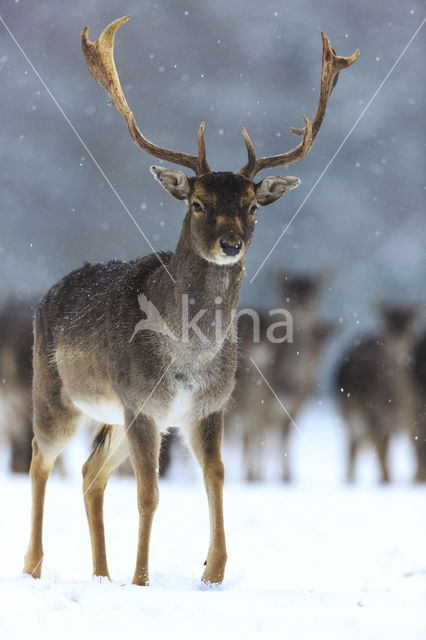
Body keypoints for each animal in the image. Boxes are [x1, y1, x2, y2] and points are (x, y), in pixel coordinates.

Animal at [22, 15, 356, 584]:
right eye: (198, 203)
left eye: (251, 206)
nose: (231, 243)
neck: (188, 355)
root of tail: (46, 297)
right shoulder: (141, 400)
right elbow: (149, 493)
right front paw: (142, 579)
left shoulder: (209, 405)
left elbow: (217, 475)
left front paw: (212, 572)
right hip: (56, 394)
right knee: (39, 460)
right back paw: (34, 567)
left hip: (110, 414)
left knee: (89, 472)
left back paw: (101, 574)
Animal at [338, 304, 418, 480]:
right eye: (386, 323)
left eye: (409, 323)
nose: (398, 336)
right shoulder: (373, 420)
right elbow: (383, 462)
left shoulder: (396, 421)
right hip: (349, 415)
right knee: (352, 448)